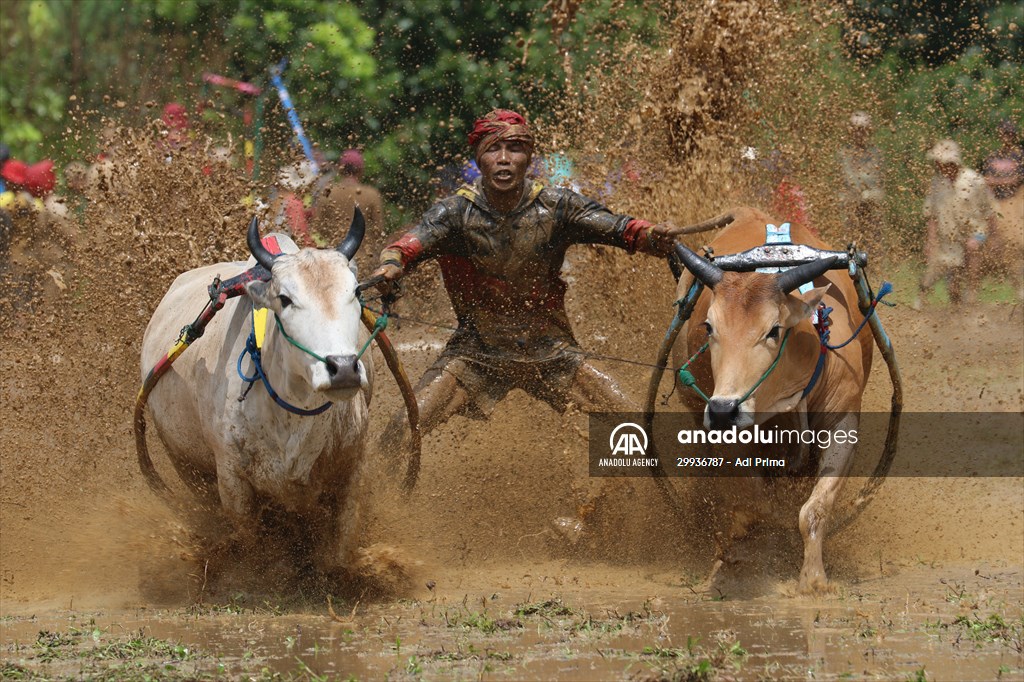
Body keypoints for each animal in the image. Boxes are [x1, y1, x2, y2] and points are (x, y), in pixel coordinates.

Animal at [139, 214, 372, 569]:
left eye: (356, 292)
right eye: (285, 299)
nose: (343, 368)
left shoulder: (352, 469)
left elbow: (341, 547)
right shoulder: (232, 481)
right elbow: (252, 546)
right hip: (184, 464)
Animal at [671, 204, 872, 593]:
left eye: (773, 330)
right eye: (709, 327)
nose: (723, 411)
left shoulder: (843, 422)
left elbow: (813, 509)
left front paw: (813, 580)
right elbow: (754, 506)